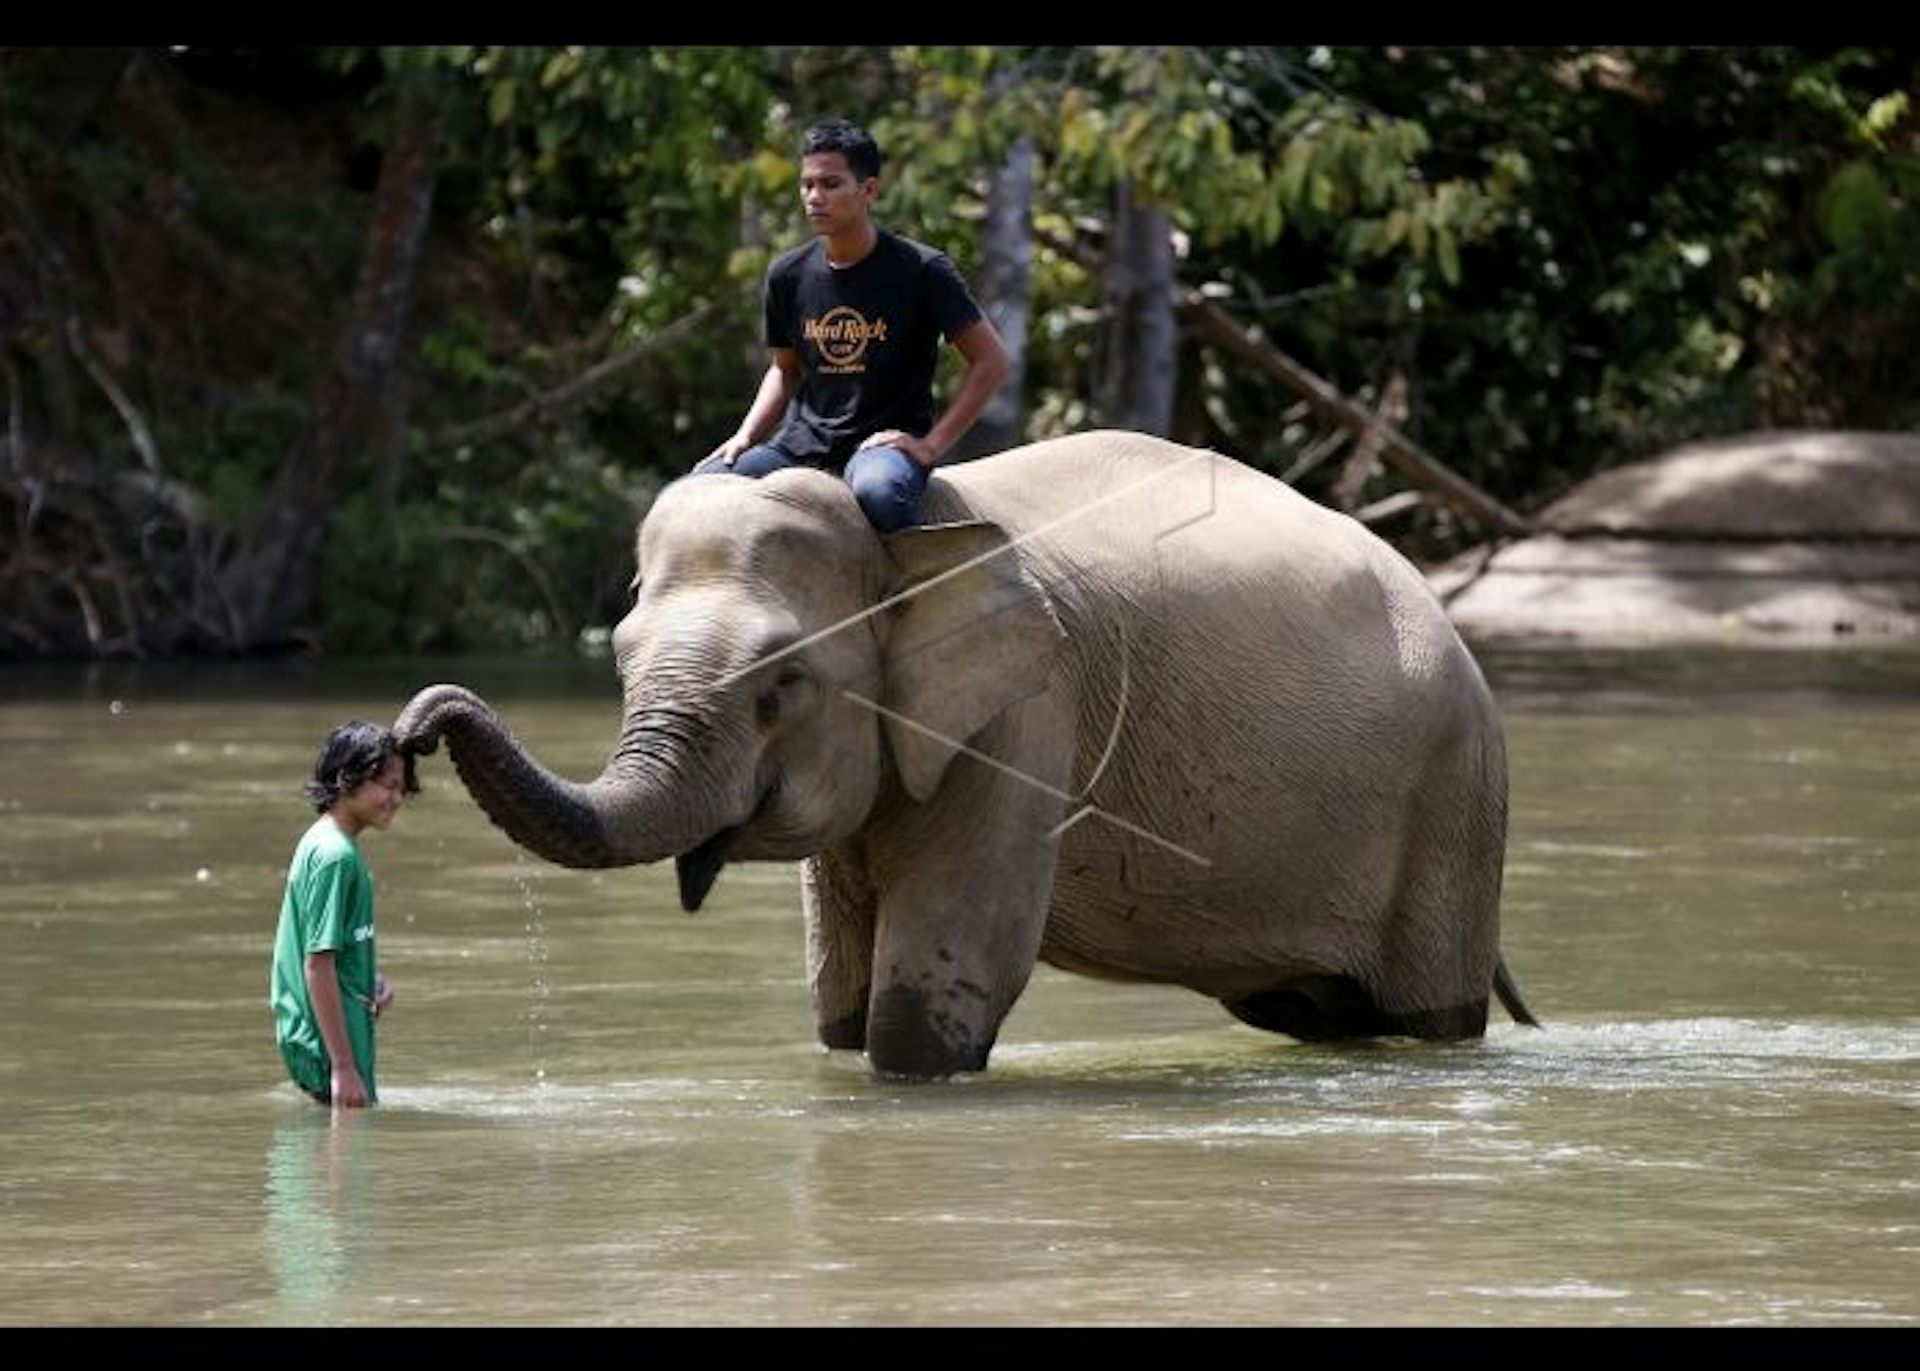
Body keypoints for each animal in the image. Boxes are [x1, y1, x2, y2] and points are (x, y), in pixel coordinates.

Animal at [397, 426, 1536, 1075]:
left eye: (781, 686)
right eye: (622, 655)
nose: (410, 730)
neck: (905, 541)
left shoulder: (1030, 709)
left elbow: (932, 988)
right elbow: (839, 1005)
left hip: (1453, 797)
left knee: (1425, 1015)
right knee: (1314, 1012)